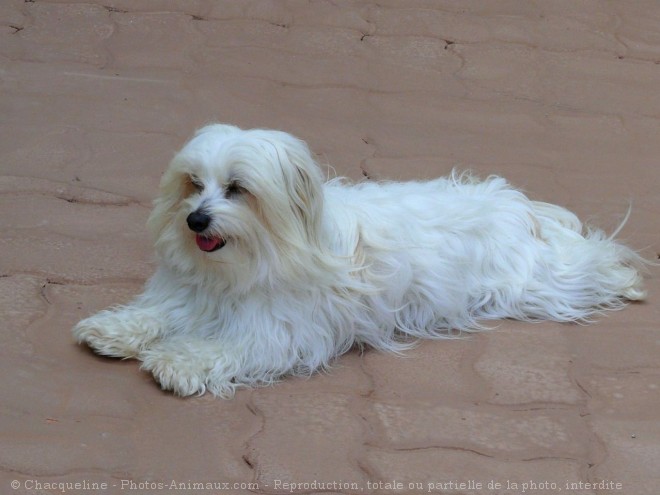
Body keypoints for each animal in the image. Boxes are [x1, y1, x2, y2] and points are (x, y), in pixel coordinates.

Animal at [72, 125, 644, 400]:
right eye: (193, 184)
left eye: (236, 189)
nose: (194, 220)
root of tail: (517, 205)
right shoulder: (190, 296)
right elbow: (154, 314)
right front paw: (114, 329)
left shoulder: (279, 330)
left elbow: (225, 346)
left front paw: (178, 361)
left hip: (539, 284)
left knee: (594, 261)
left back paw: (626, 277)